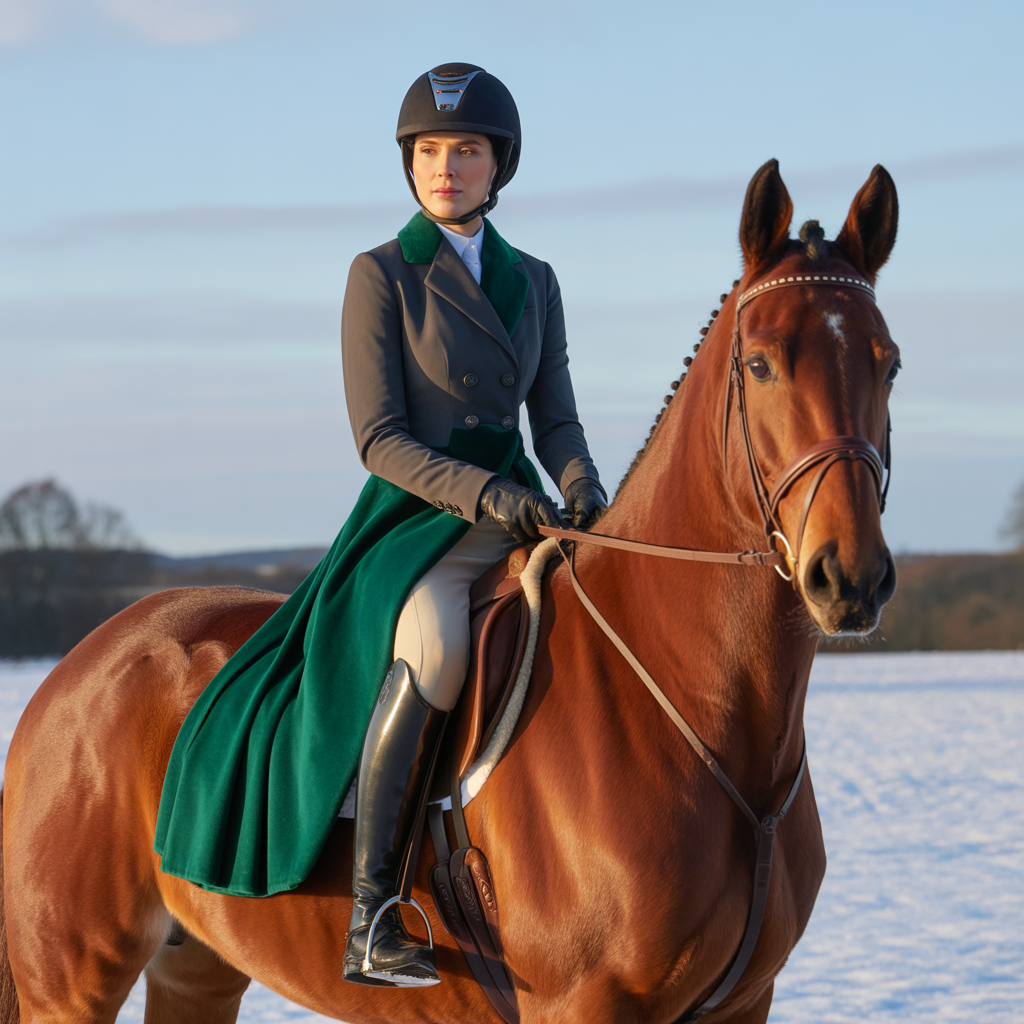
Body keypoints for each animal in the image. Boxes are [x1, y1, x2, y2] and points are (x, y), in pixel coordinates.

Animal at [0, 158, 900, 1023]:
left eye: (889, 363)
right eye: (760, 364)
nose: (848, 576)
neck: (701, 712)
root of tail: (77, 665)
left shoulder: (745, 1003)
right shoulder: (585, 1006)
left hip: (197, 964)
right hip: (71, 979)